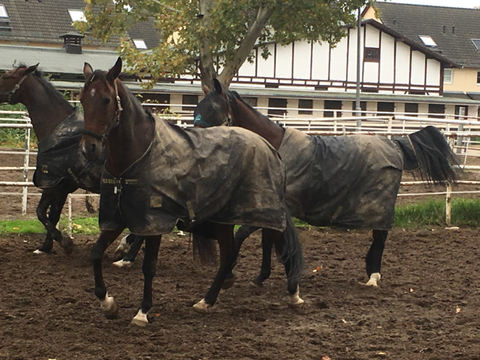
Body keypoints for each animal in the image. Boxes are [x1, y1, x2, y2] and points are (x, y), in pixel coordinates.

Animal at [79, 59, 304, 326]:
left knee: (277, 241)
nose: (89, 148)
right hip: (224, 219)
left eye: (106, 100)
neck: (137, 157)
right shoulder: (118, 218)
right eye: (83, 99)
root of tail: (270, 147)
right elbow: (95, 254)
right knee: (229, 255)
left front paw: (143, 311)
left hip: (259, 210)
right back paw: (206, 301)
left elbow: (149, 266)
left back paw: (293, 294)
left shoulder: (155, 222)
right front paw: (108, 304)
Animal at [193, 79, 460, 286]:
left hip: (379, 204)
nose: (195, 135)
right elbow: (267, 241)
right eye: (197, 105)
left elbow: (242, 236)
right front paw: (260, 277)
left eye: (214, 107)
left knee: (380, 237)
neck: (275, 148)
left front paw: (229, 276)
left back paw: (373, 276)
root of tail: (394, 143)